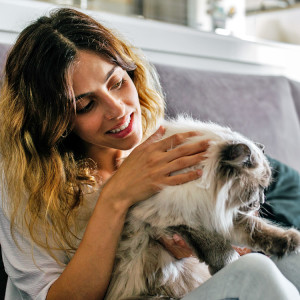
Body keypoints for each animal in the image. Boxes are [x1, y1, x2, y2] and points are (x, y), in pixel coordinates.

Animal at [104, 116, 300, 300]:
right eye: (258, 188)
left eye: (264, 188)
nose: (261, 201)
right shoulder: (174, 218)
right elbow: (217, 244)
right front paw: (229, 263)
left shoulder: (220, 215)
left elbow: (258, 229)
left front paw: (290, 241)